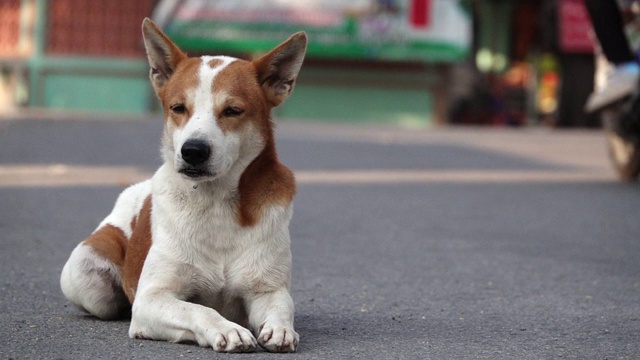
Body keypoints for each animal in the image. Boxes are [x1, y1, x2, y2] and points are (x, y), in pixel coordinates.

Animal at [60, 18, 308, 352]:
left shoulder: (267, 288)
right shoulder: (153, 298)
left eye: (232, 110)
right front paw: (227, 329)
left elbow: (282, 305)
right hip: (85, 274)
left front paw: (281, 329)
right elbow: (199, 309)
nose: (193, 150)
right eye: (178, 108)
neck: (215, 201)